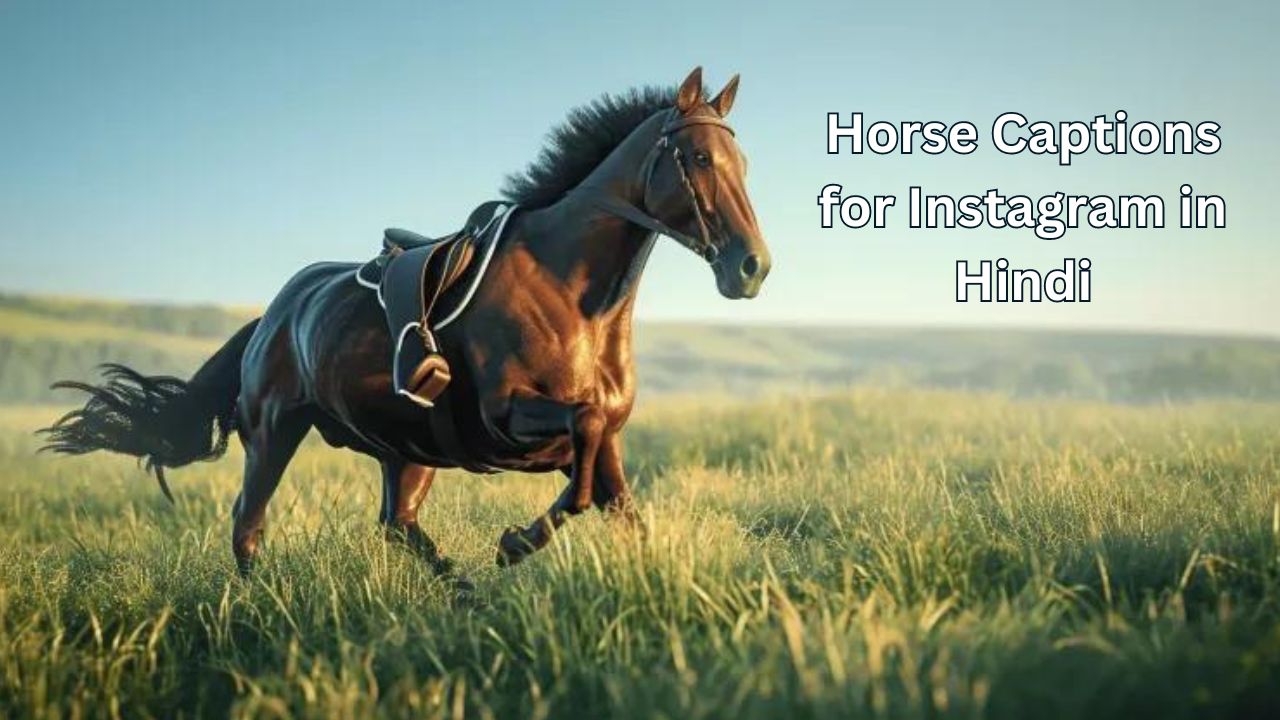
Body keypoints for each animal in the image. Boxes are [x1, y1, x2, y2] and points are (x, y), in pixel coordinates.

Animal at [39, 67, 771, 580]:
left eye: (744, 163)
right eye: (698, 159)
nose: (752, 268)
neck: (575, 297)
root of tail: (270, 315)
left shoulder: (602, 440)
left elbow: (612, 503)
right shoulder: (511, 415)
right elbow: (582, 471)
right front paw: (512, 544)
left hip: (406, 449)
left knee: (396, 523)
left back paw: (463, 594)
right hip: (274, 431)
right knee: (248, 525)